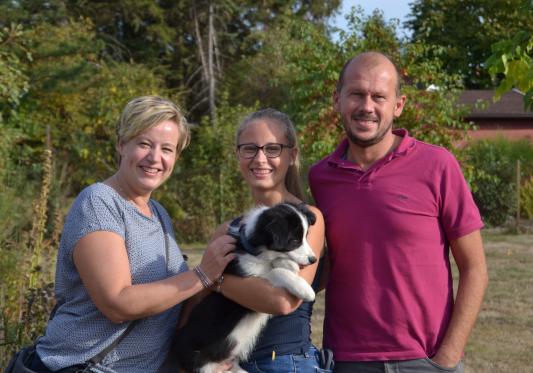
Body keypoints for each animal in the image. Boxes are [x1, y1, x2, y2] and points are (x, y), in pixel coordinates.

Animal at [170, 203, 316, 372]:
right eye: (294, 240)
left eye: (306, 236)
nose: (313, 260)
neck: (256, 250)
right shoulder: (246, 277)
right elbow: (275, 272)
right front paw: (304, 288)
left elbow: (277, 264)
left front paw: (288, 264)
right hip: (201, 365)